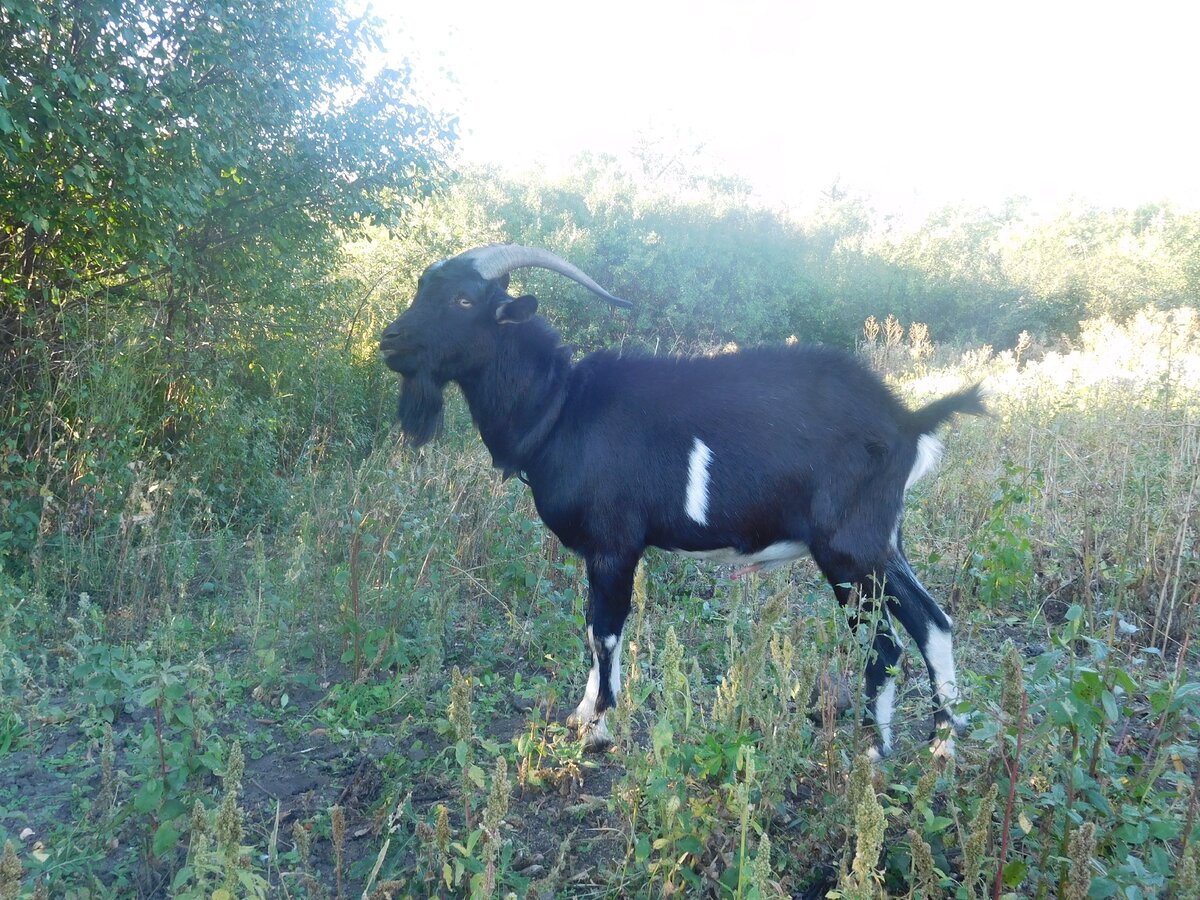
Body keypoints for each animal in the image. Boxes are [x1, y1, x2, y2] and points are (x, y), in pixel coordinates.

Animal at [384, 247, 984, 763]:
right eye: (421, 288)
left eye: (464, 300)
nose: (391, 339)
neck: (560, 408)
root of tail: (907, 421)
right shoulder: (599, 552)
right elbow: (593, 626)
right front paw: (582, 714)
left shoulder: (615, 543)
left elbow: (605, 630)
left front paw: (597, 728)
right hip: (883, 543)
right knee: (933, 622)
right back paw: (942, 745)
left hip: (847, 552)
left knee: (886, 644)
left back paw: (874, 751)